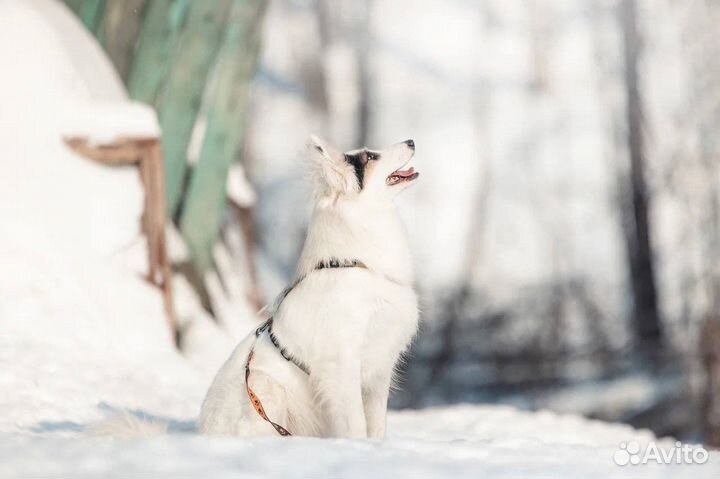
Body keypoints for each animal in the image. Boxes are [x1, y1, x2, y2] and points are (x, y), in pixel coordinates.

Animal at [200, 135, 420, 438]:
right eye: (369, 157)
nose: (411, 141)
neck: (355, 265)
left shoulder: (379, 370)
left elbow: (377, 424)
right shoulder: (342, 367)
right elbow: (356, 423)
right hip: (265, 386)